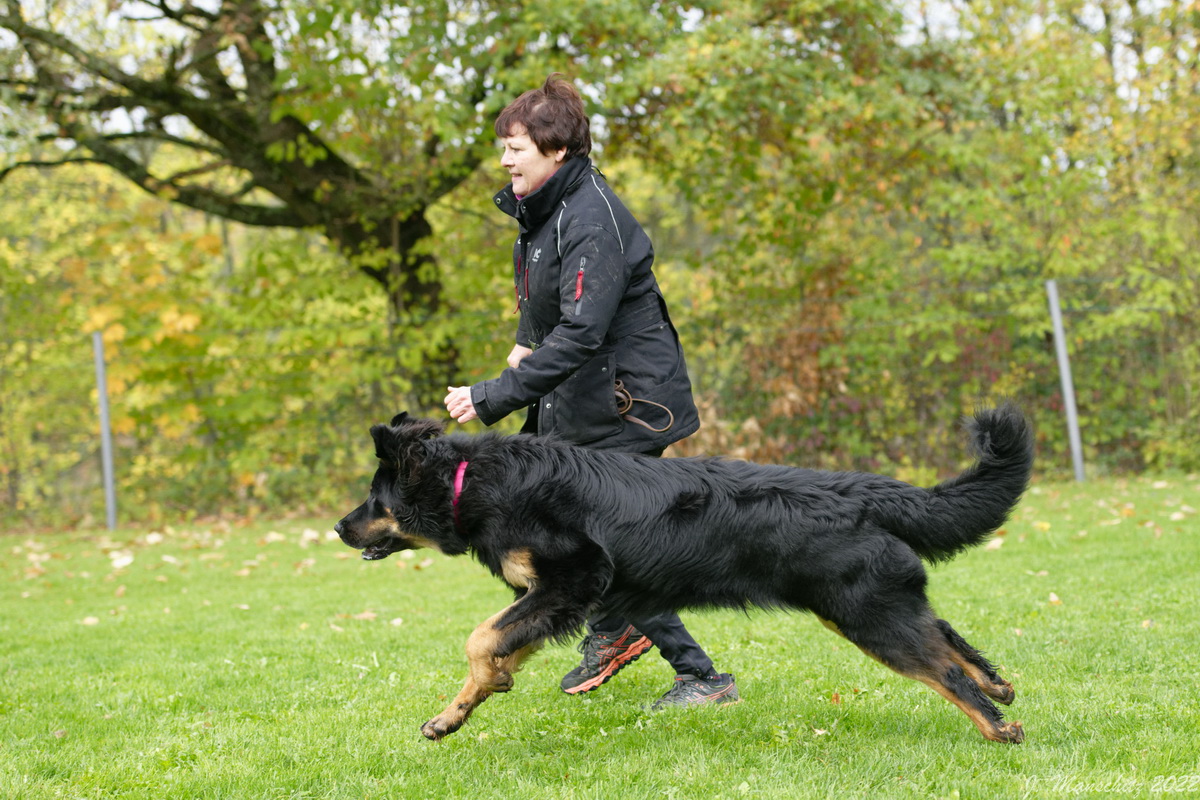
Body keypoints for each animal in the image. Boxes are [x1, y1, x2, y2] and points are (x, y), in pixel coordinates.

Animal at [336, 407, 1032, 743]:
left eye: (374, 499)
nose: (340, 529)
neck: (467, 482)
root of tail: (863, 492)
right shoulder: (550, 597)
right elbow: (493, 649)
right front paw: (455, 714)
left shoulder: (574, 577)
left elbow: (480, 638)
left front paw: (476, 692)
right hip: (873, 605)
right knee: (950, 638)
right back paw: (998, 690)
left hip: (865, 613)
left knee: (942, 667)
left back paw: (997, 728)